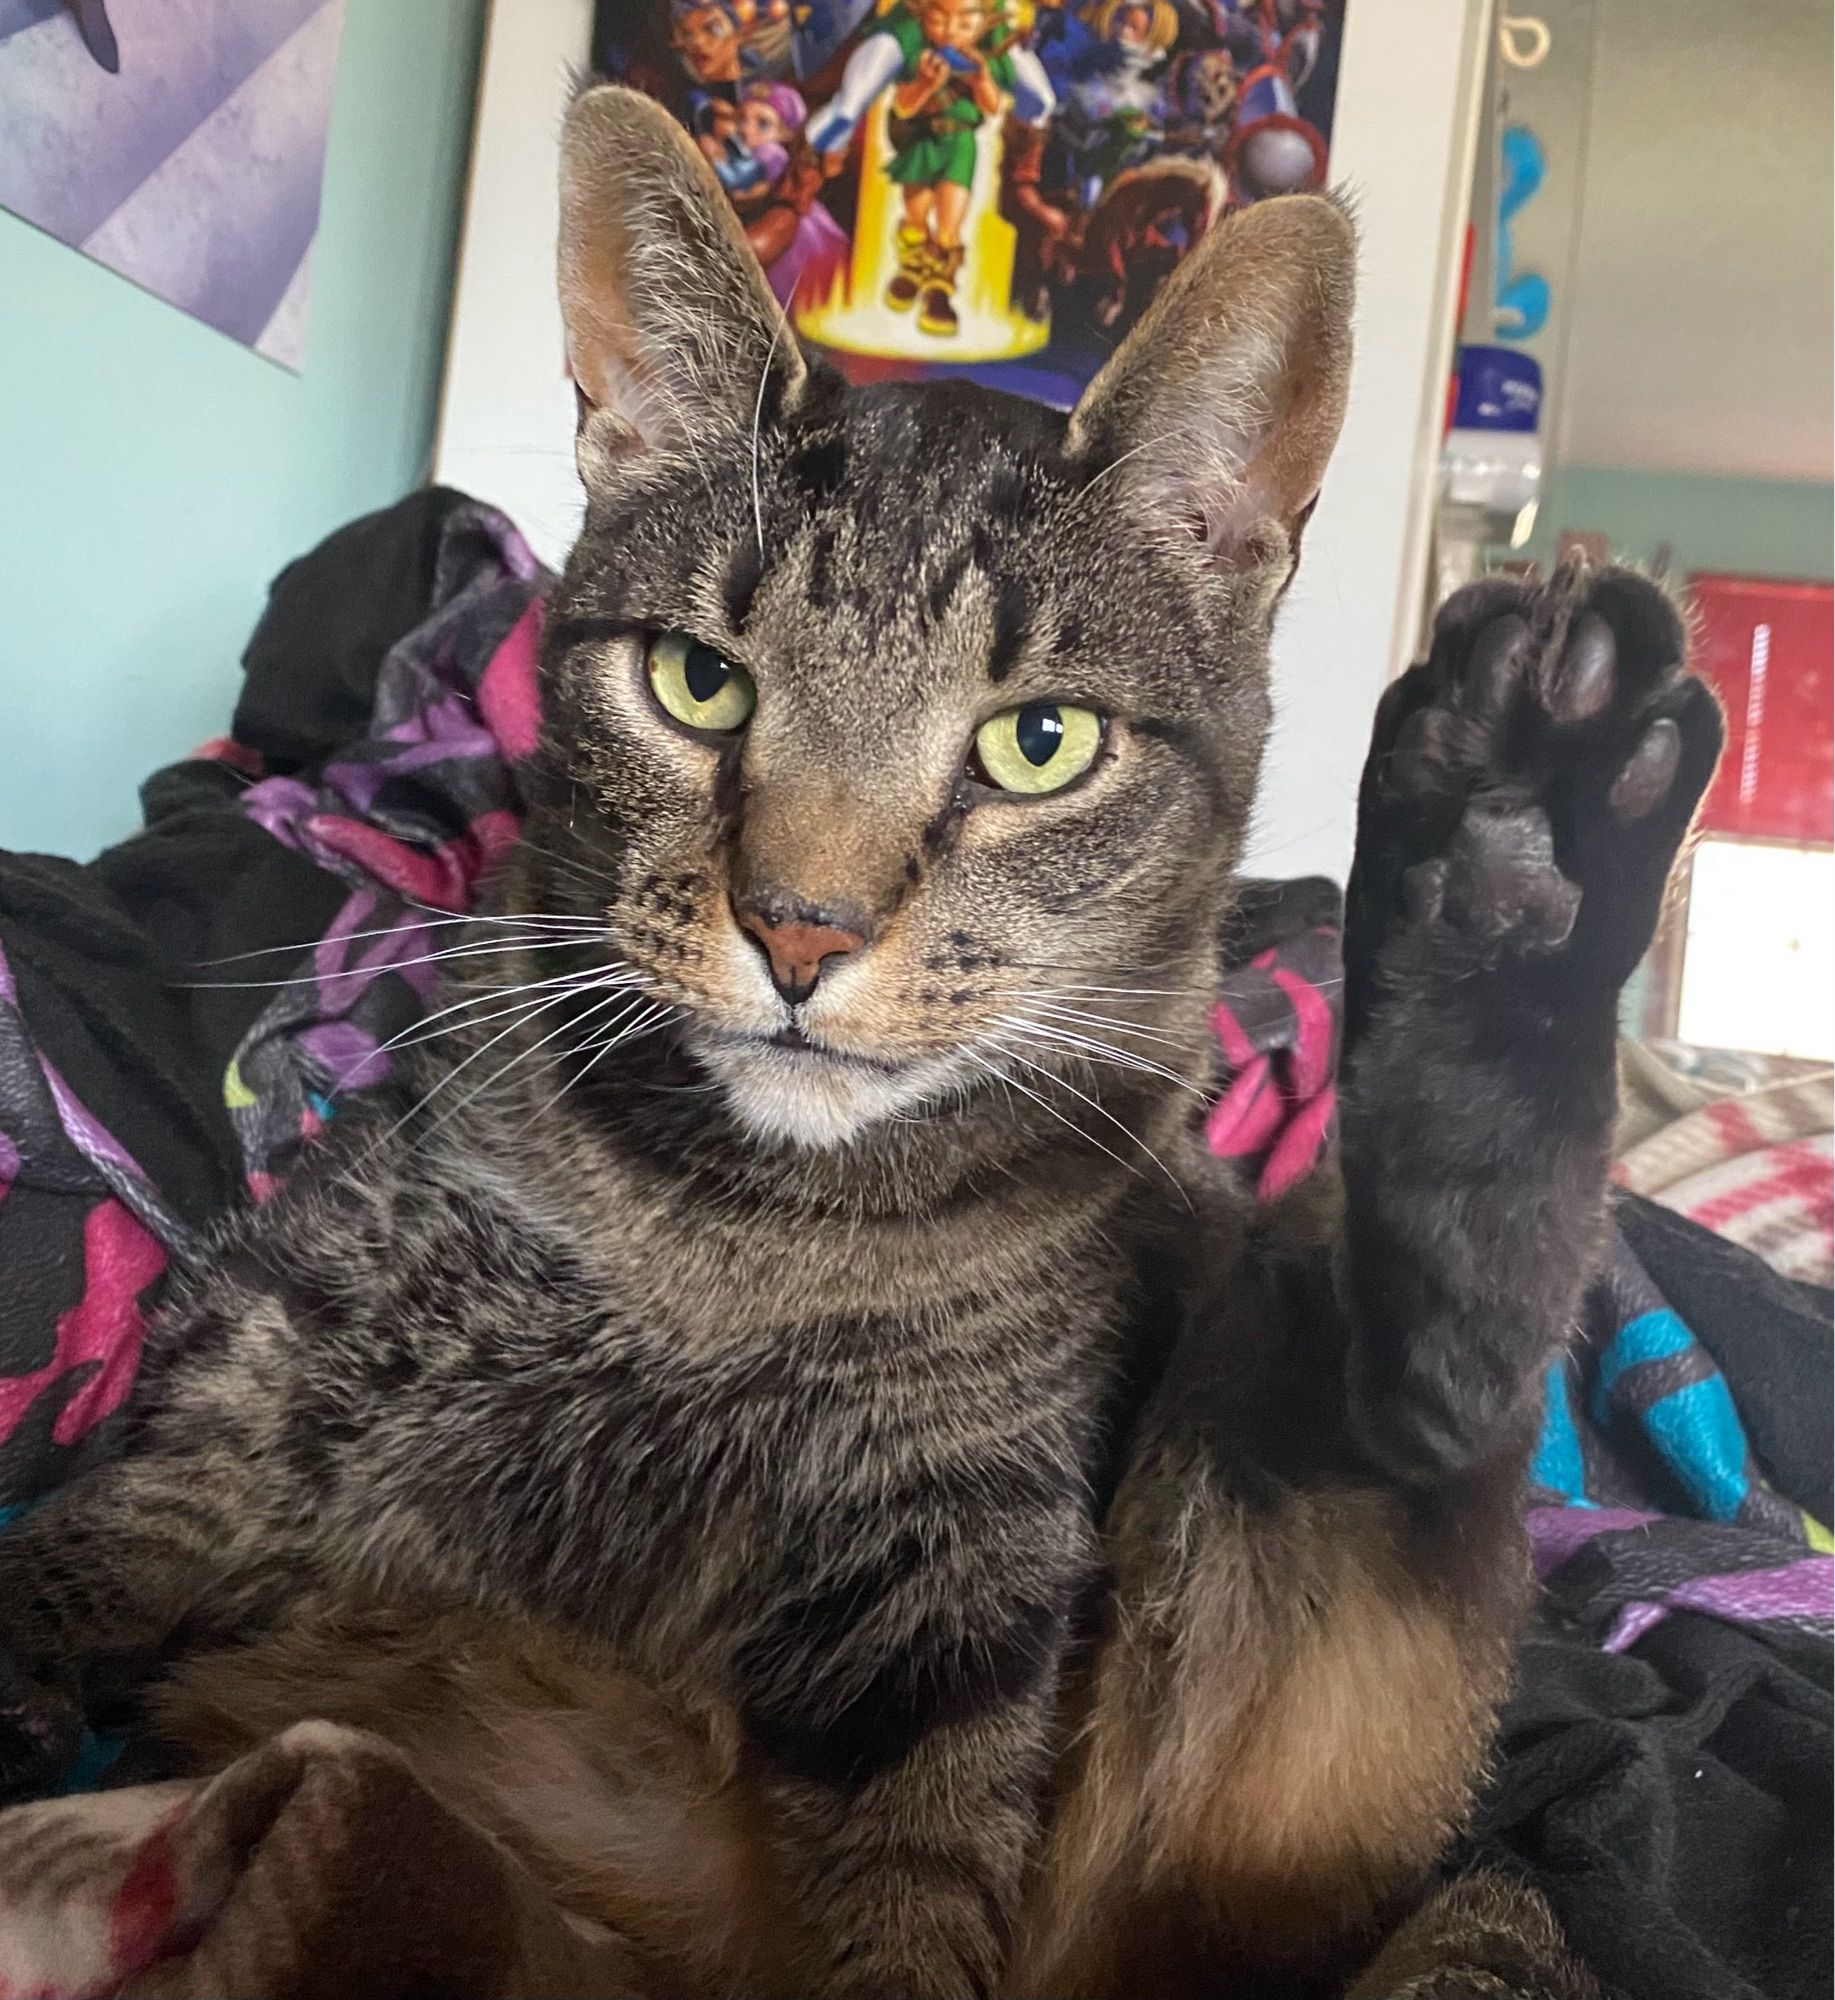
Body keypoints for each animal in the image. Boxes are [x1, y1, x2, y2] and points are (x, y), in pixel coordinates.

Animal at [0, 82, 1727, 2000]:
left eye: (1040, 742)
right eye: (698, 682)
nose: (800, 929)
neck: (730, 1236)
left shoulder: (954, 1570)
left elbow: (914, 1880)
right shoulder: (278, 1331)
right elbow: (105, 1534)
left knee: (1419, 1401)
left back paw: (1516, 862)